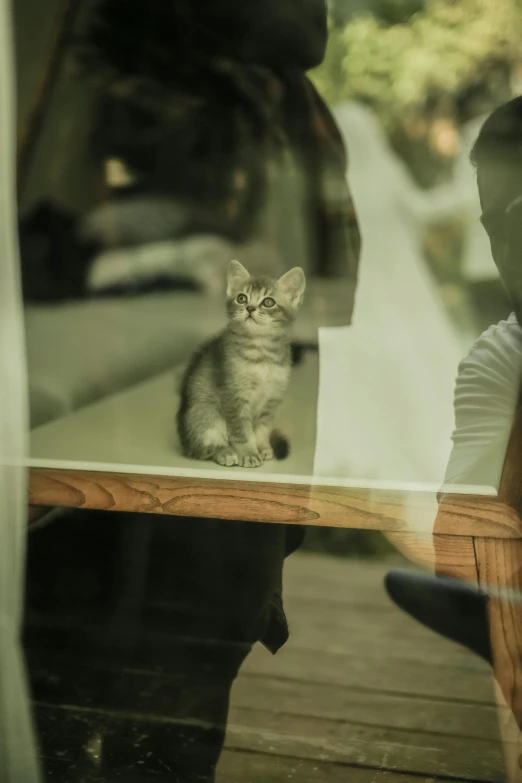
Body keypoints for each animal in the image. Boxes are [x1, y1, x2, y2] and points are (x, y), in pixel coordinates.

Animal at [177, 260, 302, 466]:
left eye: (268, 302)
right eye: (242, 298)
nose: (250, 308)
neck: (261, 353)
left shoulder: (272, 398)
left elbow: (262, 428)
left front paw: (263, 447)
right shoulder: (233, 396)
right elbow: (241, 430)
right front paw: (249, 453)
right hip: (205, 413)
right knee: (203, 448)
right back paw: (225, 452)